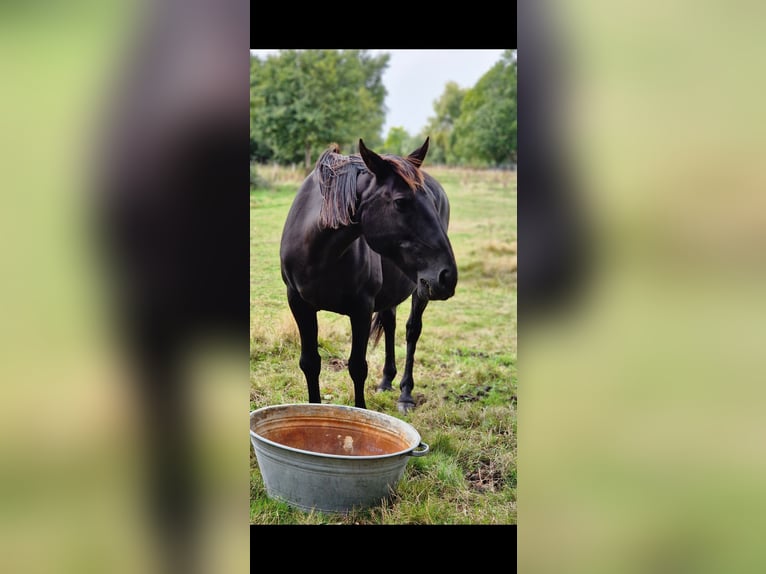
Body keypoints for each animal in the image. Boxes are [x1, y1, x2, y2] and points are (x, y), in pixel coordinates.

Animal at [280, 137, 458, 413]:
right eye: (401, 202)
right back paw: (386, 381)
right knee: (390, 322)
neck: (318, 254)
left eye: (430, 201)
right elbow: (309, 362)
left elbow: (357, 367)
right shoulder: (298, 303)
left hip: (421, 288)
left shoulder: (361, 308)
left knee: (412, 331)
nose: (447, 276)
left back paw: (405, 394)